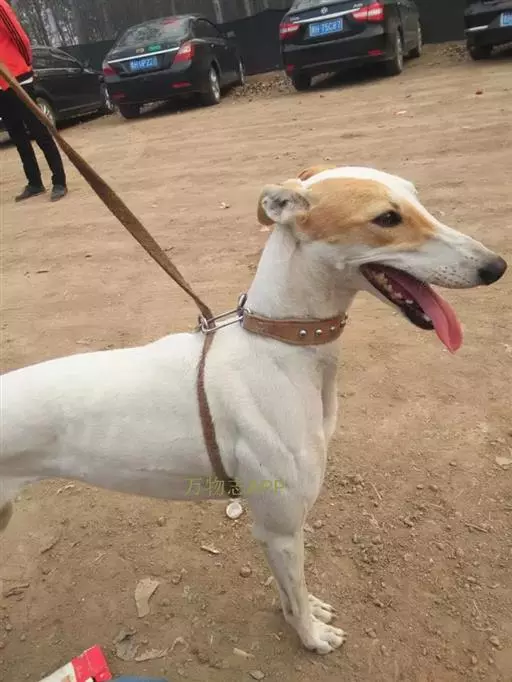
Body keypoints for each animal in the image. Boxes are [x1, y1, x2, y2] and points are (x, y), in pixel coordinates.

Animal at [0, 165, 507, 654]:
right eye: (386, 218)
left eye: (417, 199)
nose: (496, 266)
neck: (280, 344)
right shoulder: (281, 527)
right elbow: (296, 592)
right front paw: (313, 639)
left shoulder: (271, 529)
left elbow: (290, 593)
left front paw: (305, 615)